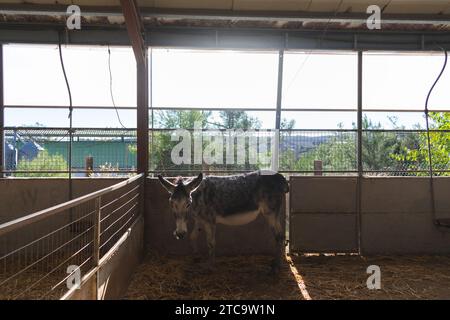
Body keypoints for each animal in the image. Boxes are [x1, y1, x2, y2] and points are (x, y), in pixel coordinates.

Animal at [157, 170, 288, 272]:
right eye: (171, 203)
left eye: (188, 204)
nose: (179, 234)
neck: (197, 198)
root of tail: (280, 177)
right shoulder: (199, 220)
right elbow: (193, 236)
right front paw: (196, 257)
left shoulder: (210, 220)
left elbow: (211, 243)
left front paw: (210, 266)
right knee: (279, 236)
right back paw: (276, 263)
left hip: (271, 212)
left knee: (280, 236)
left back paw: (277, 266)